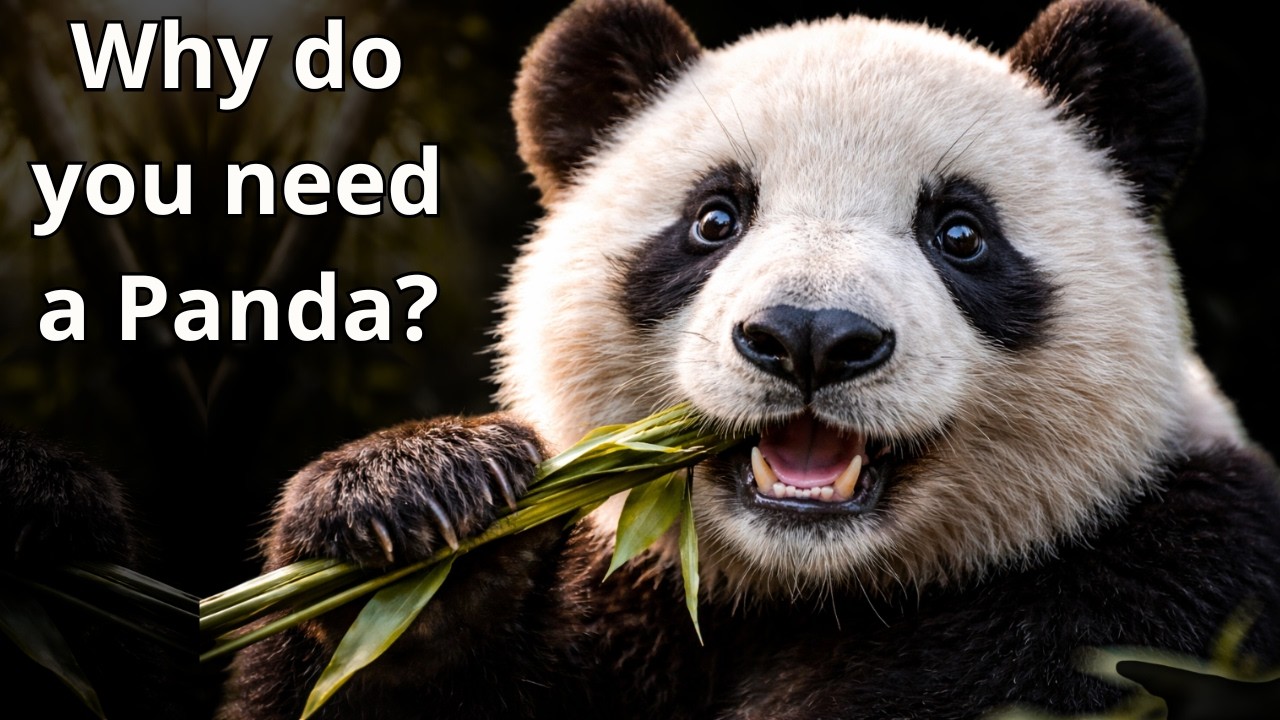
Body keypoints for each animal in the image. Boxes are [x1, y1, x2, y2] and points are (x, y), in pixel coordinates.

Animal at [218, 0, 1280, 717]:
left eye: (962, 234)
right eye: (715, 219)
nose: (811, 337)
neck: (809, 590)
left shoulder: (1171, 569)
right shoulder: (629, 598)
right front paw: (413, 514)